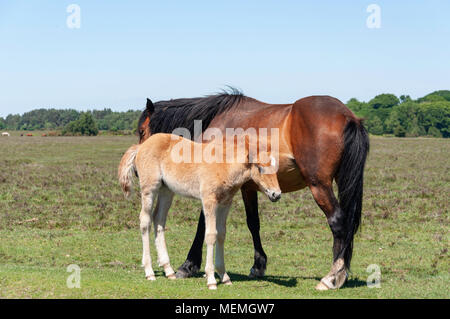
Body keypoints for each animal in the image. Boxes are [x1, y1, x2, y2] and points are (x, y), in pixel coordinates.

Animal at [135, 89, 368, 292]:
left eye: (141, 131)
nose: (138, 169)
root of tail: (348, 116)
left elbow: (204, 225)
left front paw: (188, 265)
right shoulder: (247, 187)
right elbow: (253, 223)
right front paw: (258, 265)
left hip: (319, 186)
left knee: (338, 222)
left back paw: (331, 277)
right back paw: (341, 274)